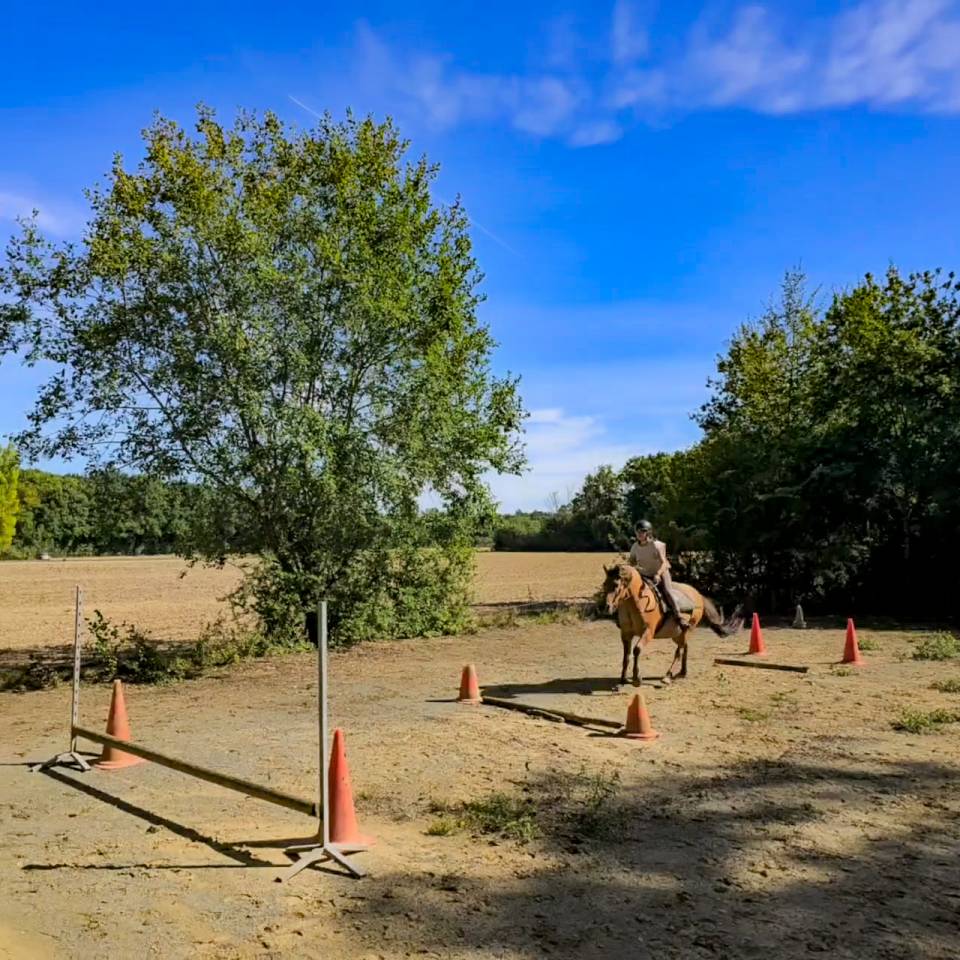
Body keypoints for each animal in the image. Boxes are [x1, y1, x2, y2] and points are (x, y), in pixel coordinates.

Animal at [600, 563, 741, 687]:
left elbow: (637, 650)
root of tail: (697, 594)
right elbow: (626, 656)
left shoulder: (648, 632)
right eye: (604, 584)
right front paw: (623, 679)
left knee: (679, 651)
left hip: (685, 631)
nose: (607, 607)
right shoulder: (626, 634)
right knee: (685, 647)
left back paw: (667, 676)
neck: (636, 603)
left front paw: (636, 679)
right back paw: (682, 672)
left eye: (616, 585)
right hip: (678, 633)